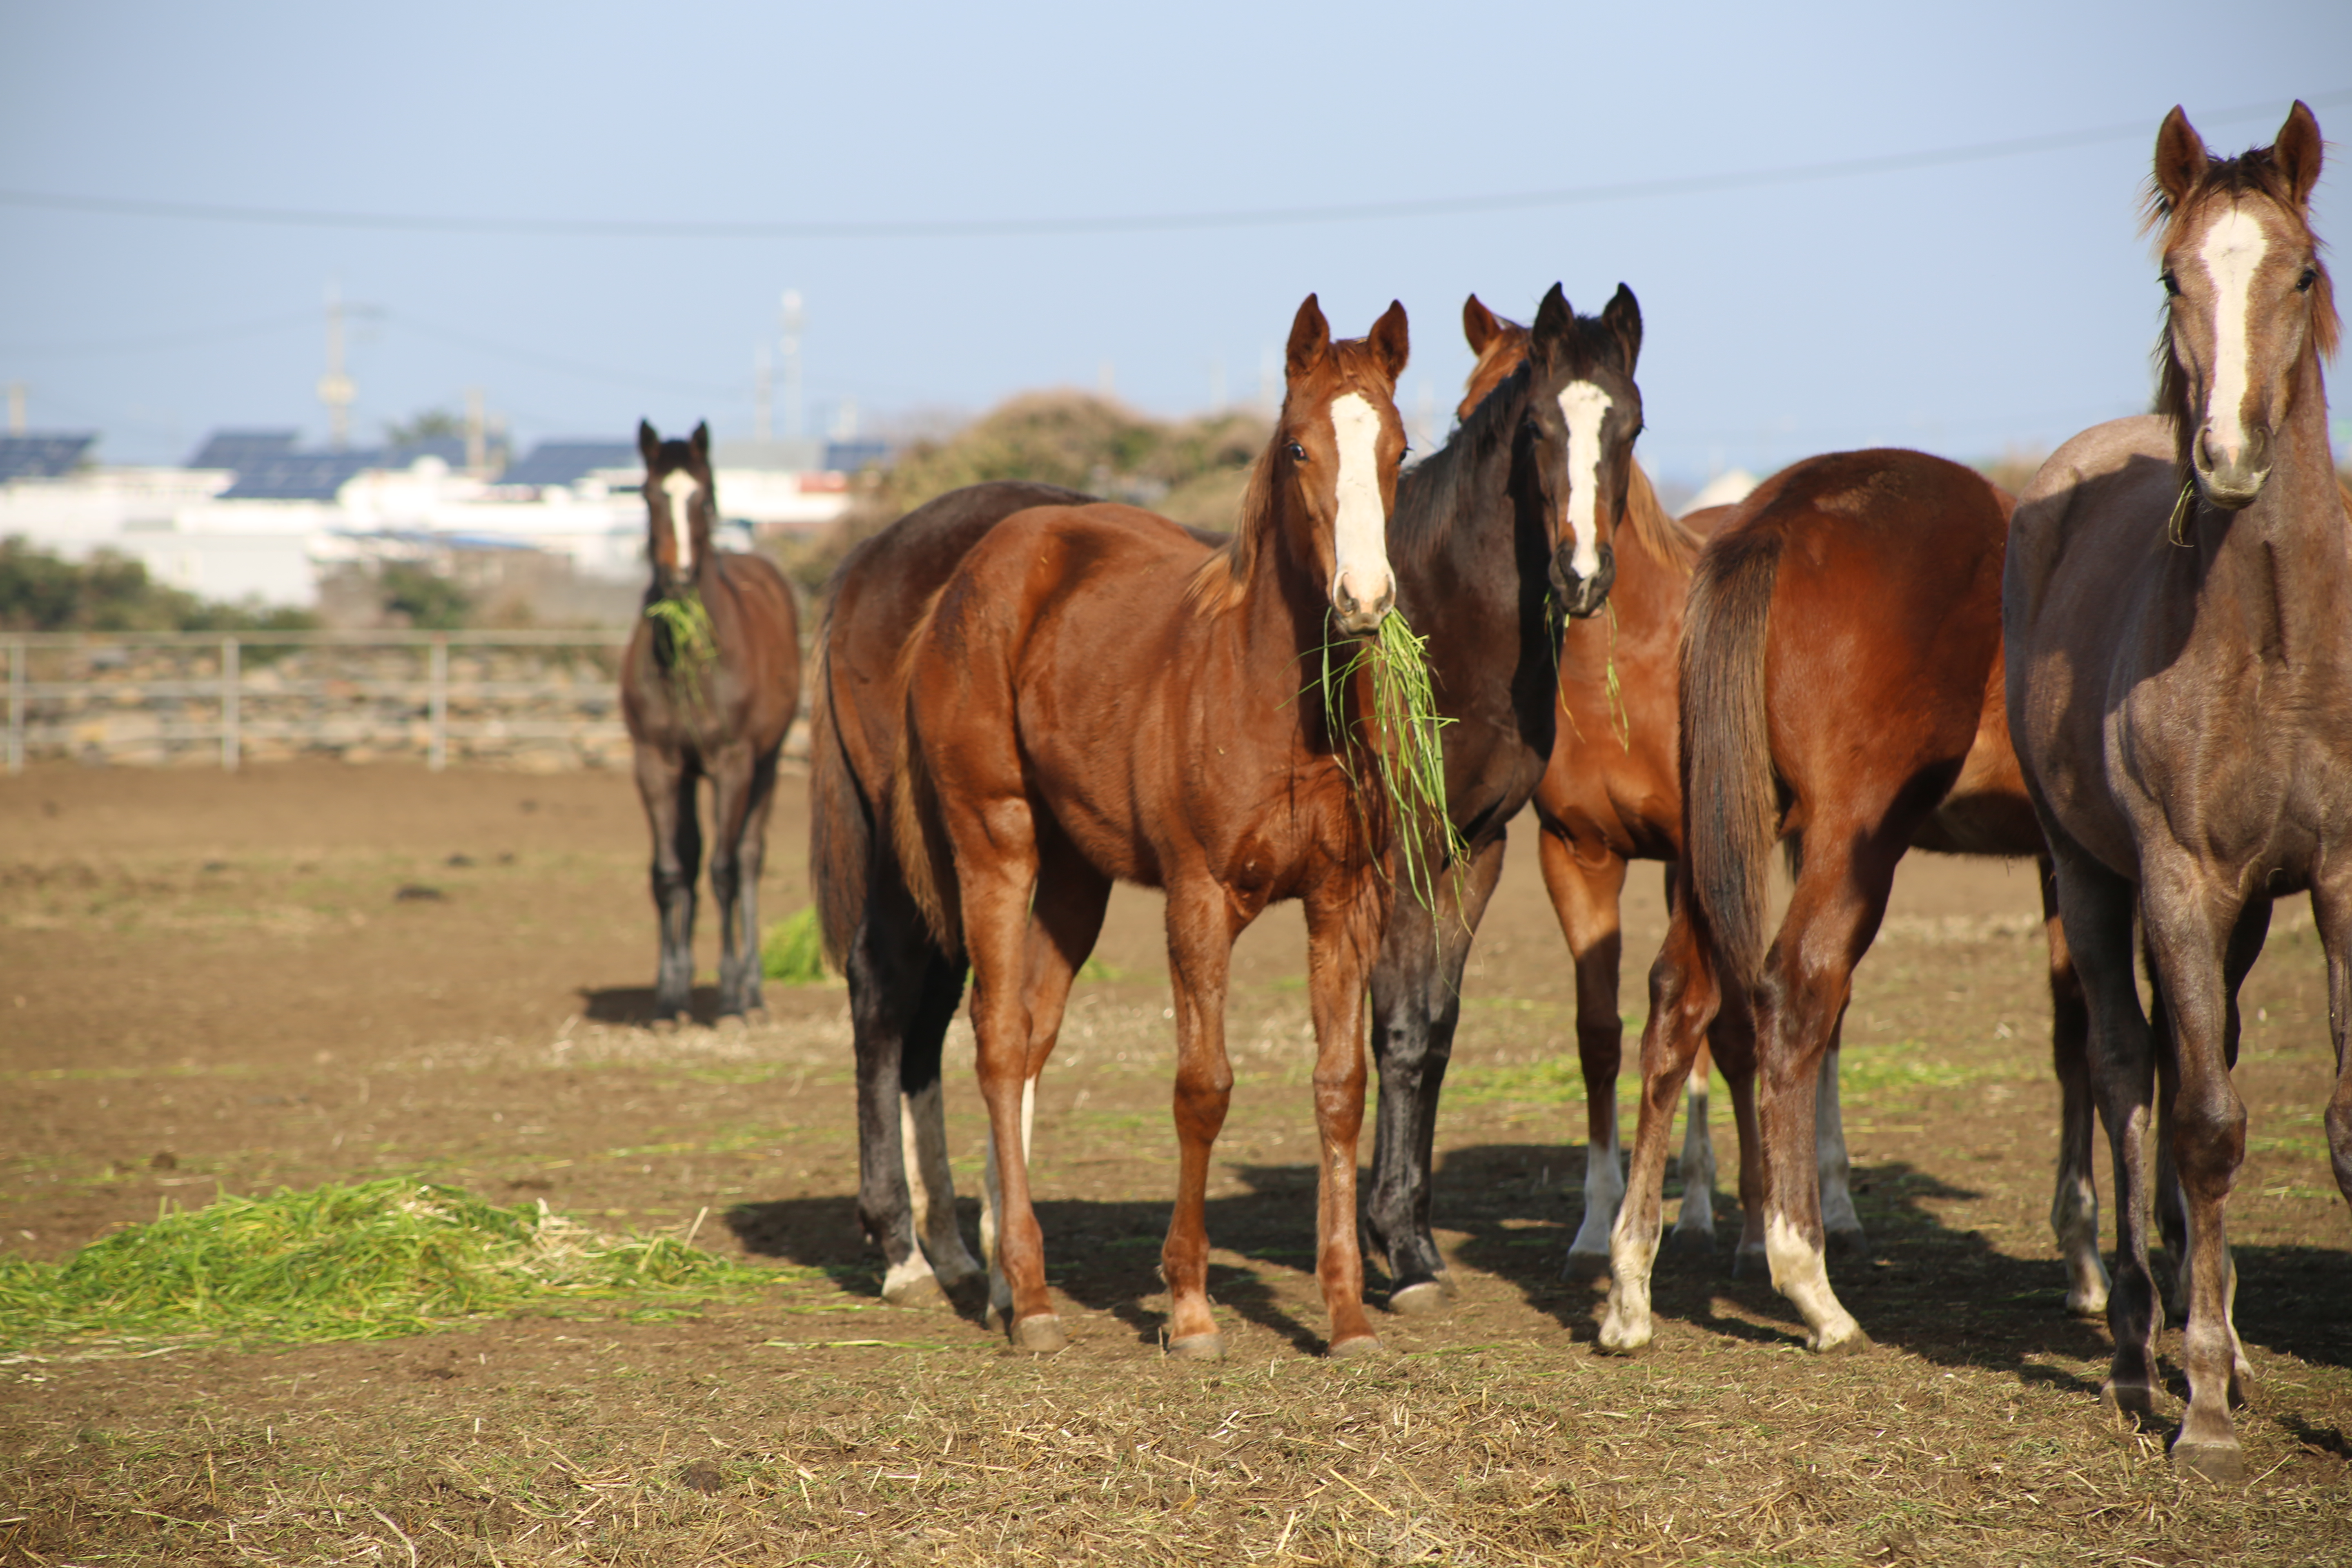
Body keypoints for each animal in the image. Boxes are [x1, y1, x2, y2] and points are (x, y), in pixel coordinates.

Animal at [616, 423, 800, 1025]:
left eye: (701, 497)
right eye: (650, 495)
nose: (677, 580)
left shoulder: (732, 762)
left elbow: (724, 870)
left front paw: (729, 994)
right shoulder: (656, 763)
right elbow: (671, 872)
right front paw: (669, 994)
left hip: (764, 767)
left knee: (745, 860)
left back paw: (751, 986)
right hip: (689, 774)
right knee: (693, 858)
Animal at [893, 297, 1411, 1363]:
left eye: (1399, 449)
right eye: (1298, 446)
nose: (1362, 601)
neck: (1274, 707)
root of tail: (966, 578)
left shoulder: (1343, 901)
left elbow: (1340, 1087)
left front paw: (1345, 1315)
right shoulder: (1198, 898)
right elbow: (1202, 1086)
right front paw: (1190, 1307)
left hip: (1075, 881)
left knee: (1031, 1037)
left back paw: (1008, 1284)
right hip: (996, 843)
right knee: (997, 1041)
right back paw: (1032, 1303)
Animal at [1599, 442, 2098, 1363]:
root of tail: (1777, 519)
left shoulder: (2067, 864)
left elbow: (2080, 1034)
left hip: (1723, 833)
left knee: (1677, 1002)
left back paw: (1630, 1289)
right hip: (1849, 841)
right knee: (1797, 992)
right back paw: (1811, 1286)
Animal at [2004, 101, 2352, 1486]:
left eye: (2301, 273)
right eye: (2172, 278)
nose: (2232, 454)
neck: (2282, 647)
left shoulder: (2339, 879)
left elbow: (2335, 1119)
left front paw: (2251, 1363)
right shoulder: (2176, 877)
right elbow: (2200, 1116)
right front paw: (2199, 1405)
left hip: (2245, 910)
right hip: (2094, 878)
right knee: (2121, 1066)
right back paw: (2137, 1345)